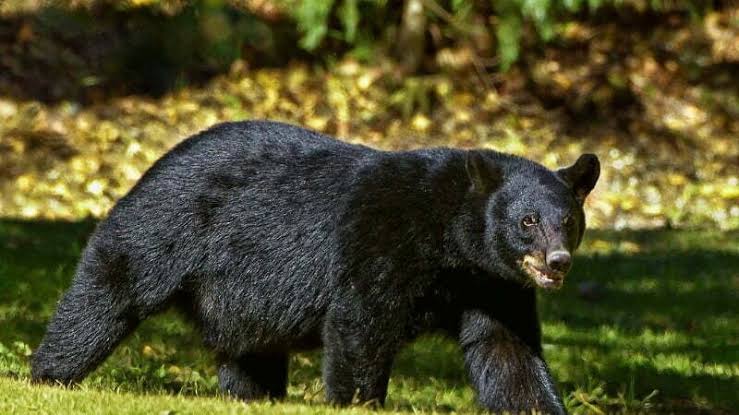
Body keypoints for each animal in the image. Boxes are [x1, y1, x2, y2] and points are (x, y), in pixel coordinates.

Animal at [31, 120, 600, 414]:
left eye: (569, 220)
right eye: (527, 221)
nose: (557, 261)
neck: (451, 240)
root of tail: (158, 160)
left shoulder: (491, 283)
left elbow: (506, 349)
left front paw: (539, 404)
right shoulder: (383, 238)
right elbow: (361, 322)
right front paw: (360, 402)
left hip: (239, 296)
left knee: (249, 349)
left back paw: (253, 395)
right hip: (166, 225)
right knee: (110, 290)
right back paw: (50, 373)